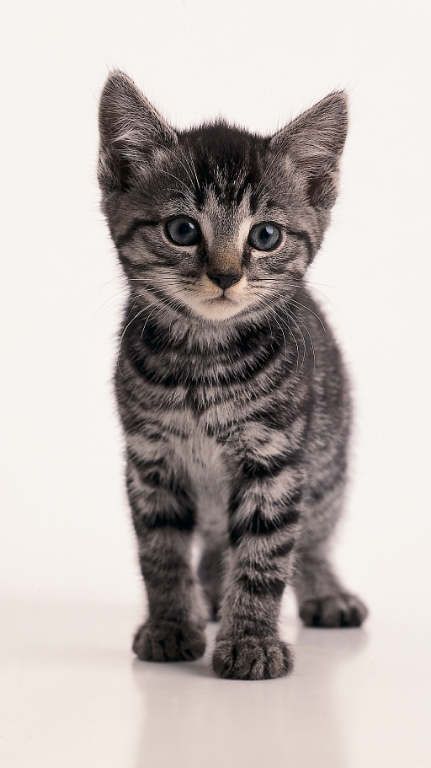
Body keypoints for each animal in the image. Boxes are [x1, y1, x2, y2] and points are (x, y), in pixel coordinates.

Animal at [98, 72, 368, 680]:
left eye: (264, 236)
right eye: (182, 230)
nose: (225, 275)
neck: (204, 360)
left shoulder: (276, 459)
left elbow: (266, 556)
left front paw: (251, 640)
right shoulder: (151, 459)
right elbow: (161, 552)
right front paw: (172, 625)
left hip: (327, 466)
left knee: (310, 540)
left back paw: (324, 592)